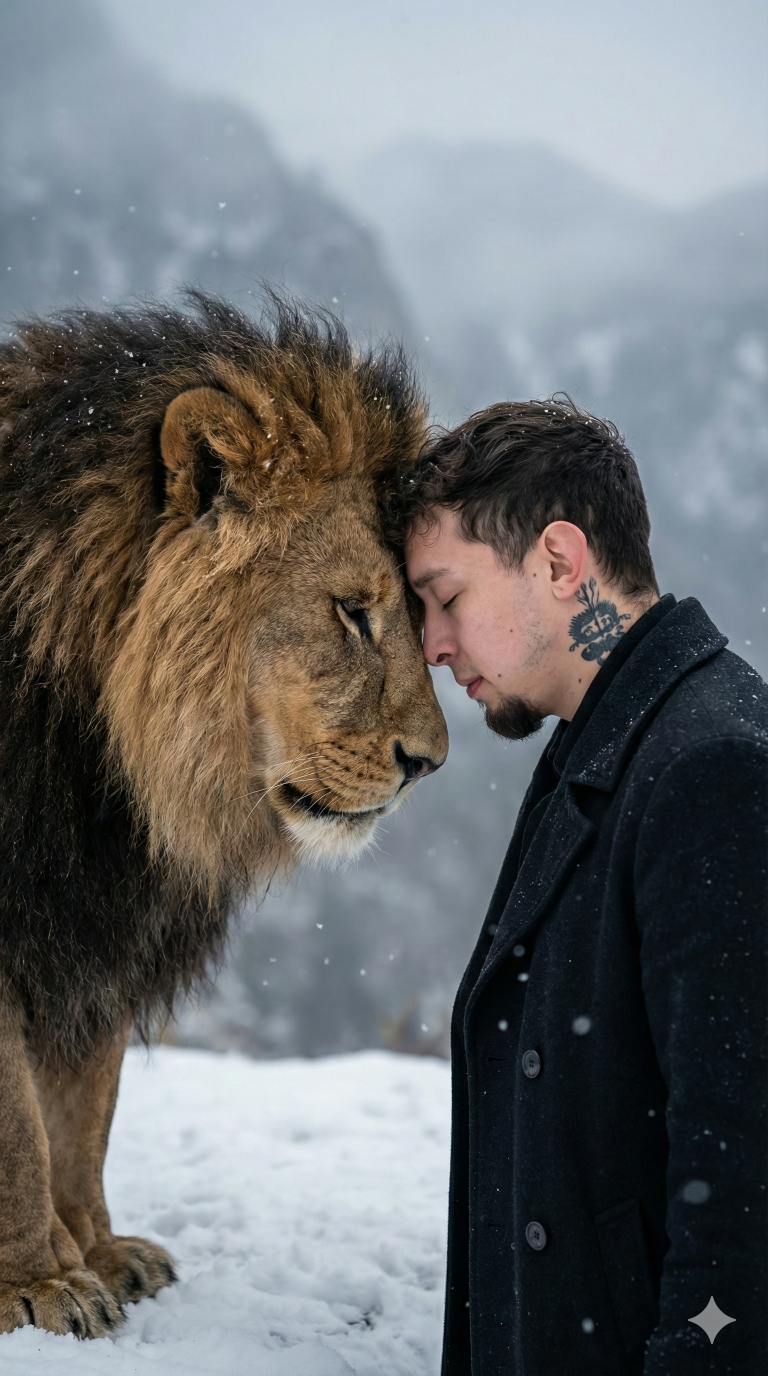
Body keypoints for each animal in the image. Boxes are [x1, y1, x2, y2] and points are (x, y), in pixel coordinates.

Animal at [0, 291, 447, 1338]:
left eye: (422, 612)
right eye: (352, 612)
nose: (427, 764)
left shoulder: (101, 910)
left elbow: (84, 1105)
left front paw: (98, 1253)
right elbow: (17, 1128)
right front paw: (39, 1283)